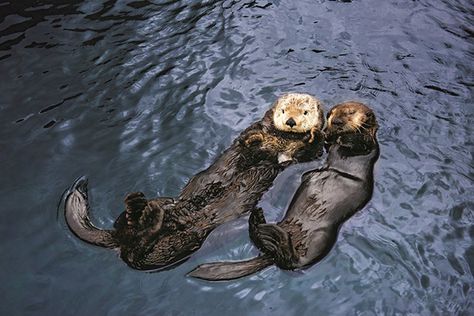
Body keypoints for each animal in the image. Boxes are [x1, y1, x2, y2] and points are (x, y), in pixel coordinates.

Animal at [65, 92, 326, 270]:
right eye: (283, 111)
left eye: (305, 112)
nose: (291, 121)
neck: (281, 140)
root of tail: (119, 239)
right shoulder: (256, 134)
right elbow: (247, 141)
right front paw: (253, 139)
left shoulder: (302, 156)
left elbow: (311, 149)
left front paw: (313, 135)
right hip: (167, 206)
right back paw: (138, 207)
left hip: (184, 243)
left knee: (140, 257)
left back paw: (148, 217)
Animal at [188, 102, 378, 282]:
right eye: (332, 113)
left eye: (351, 113)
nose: (336, 121)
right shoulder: (327, 147)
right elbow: (323, 145)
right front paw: (319, 133)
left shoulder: (369, 147)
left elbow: (363, 143)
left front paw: (348, 134)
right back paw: (259, 223)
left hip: (321, 239)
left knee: (291, 261)